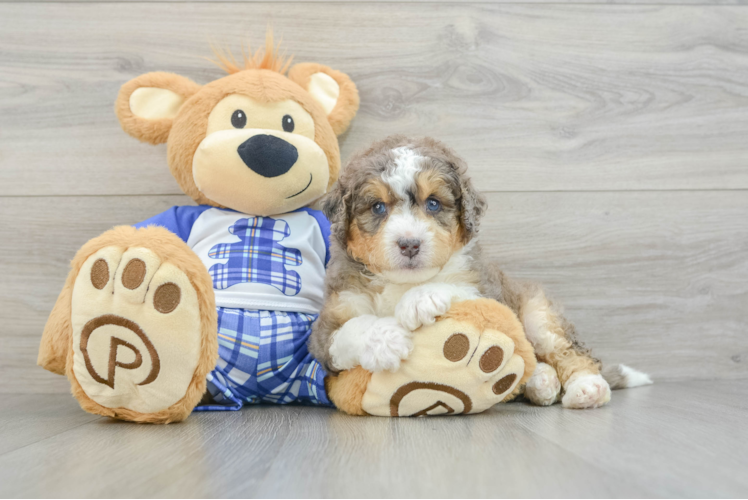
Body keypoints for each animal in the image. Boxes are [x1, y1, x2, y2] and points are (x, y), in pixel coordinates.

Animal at [308, 135, 648, 408]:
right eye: (377, 207)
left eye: (433, 204)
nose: (409, 244)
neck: (402, 283)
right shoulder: (329, 323)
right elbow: (349, 330)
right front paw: (386, 340)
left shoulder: (486, 287)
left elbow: (459, 288)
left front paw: (419, 301)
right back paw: (542, 381)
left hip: (538, 312)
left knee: (566, 349)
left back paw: (587, 388)